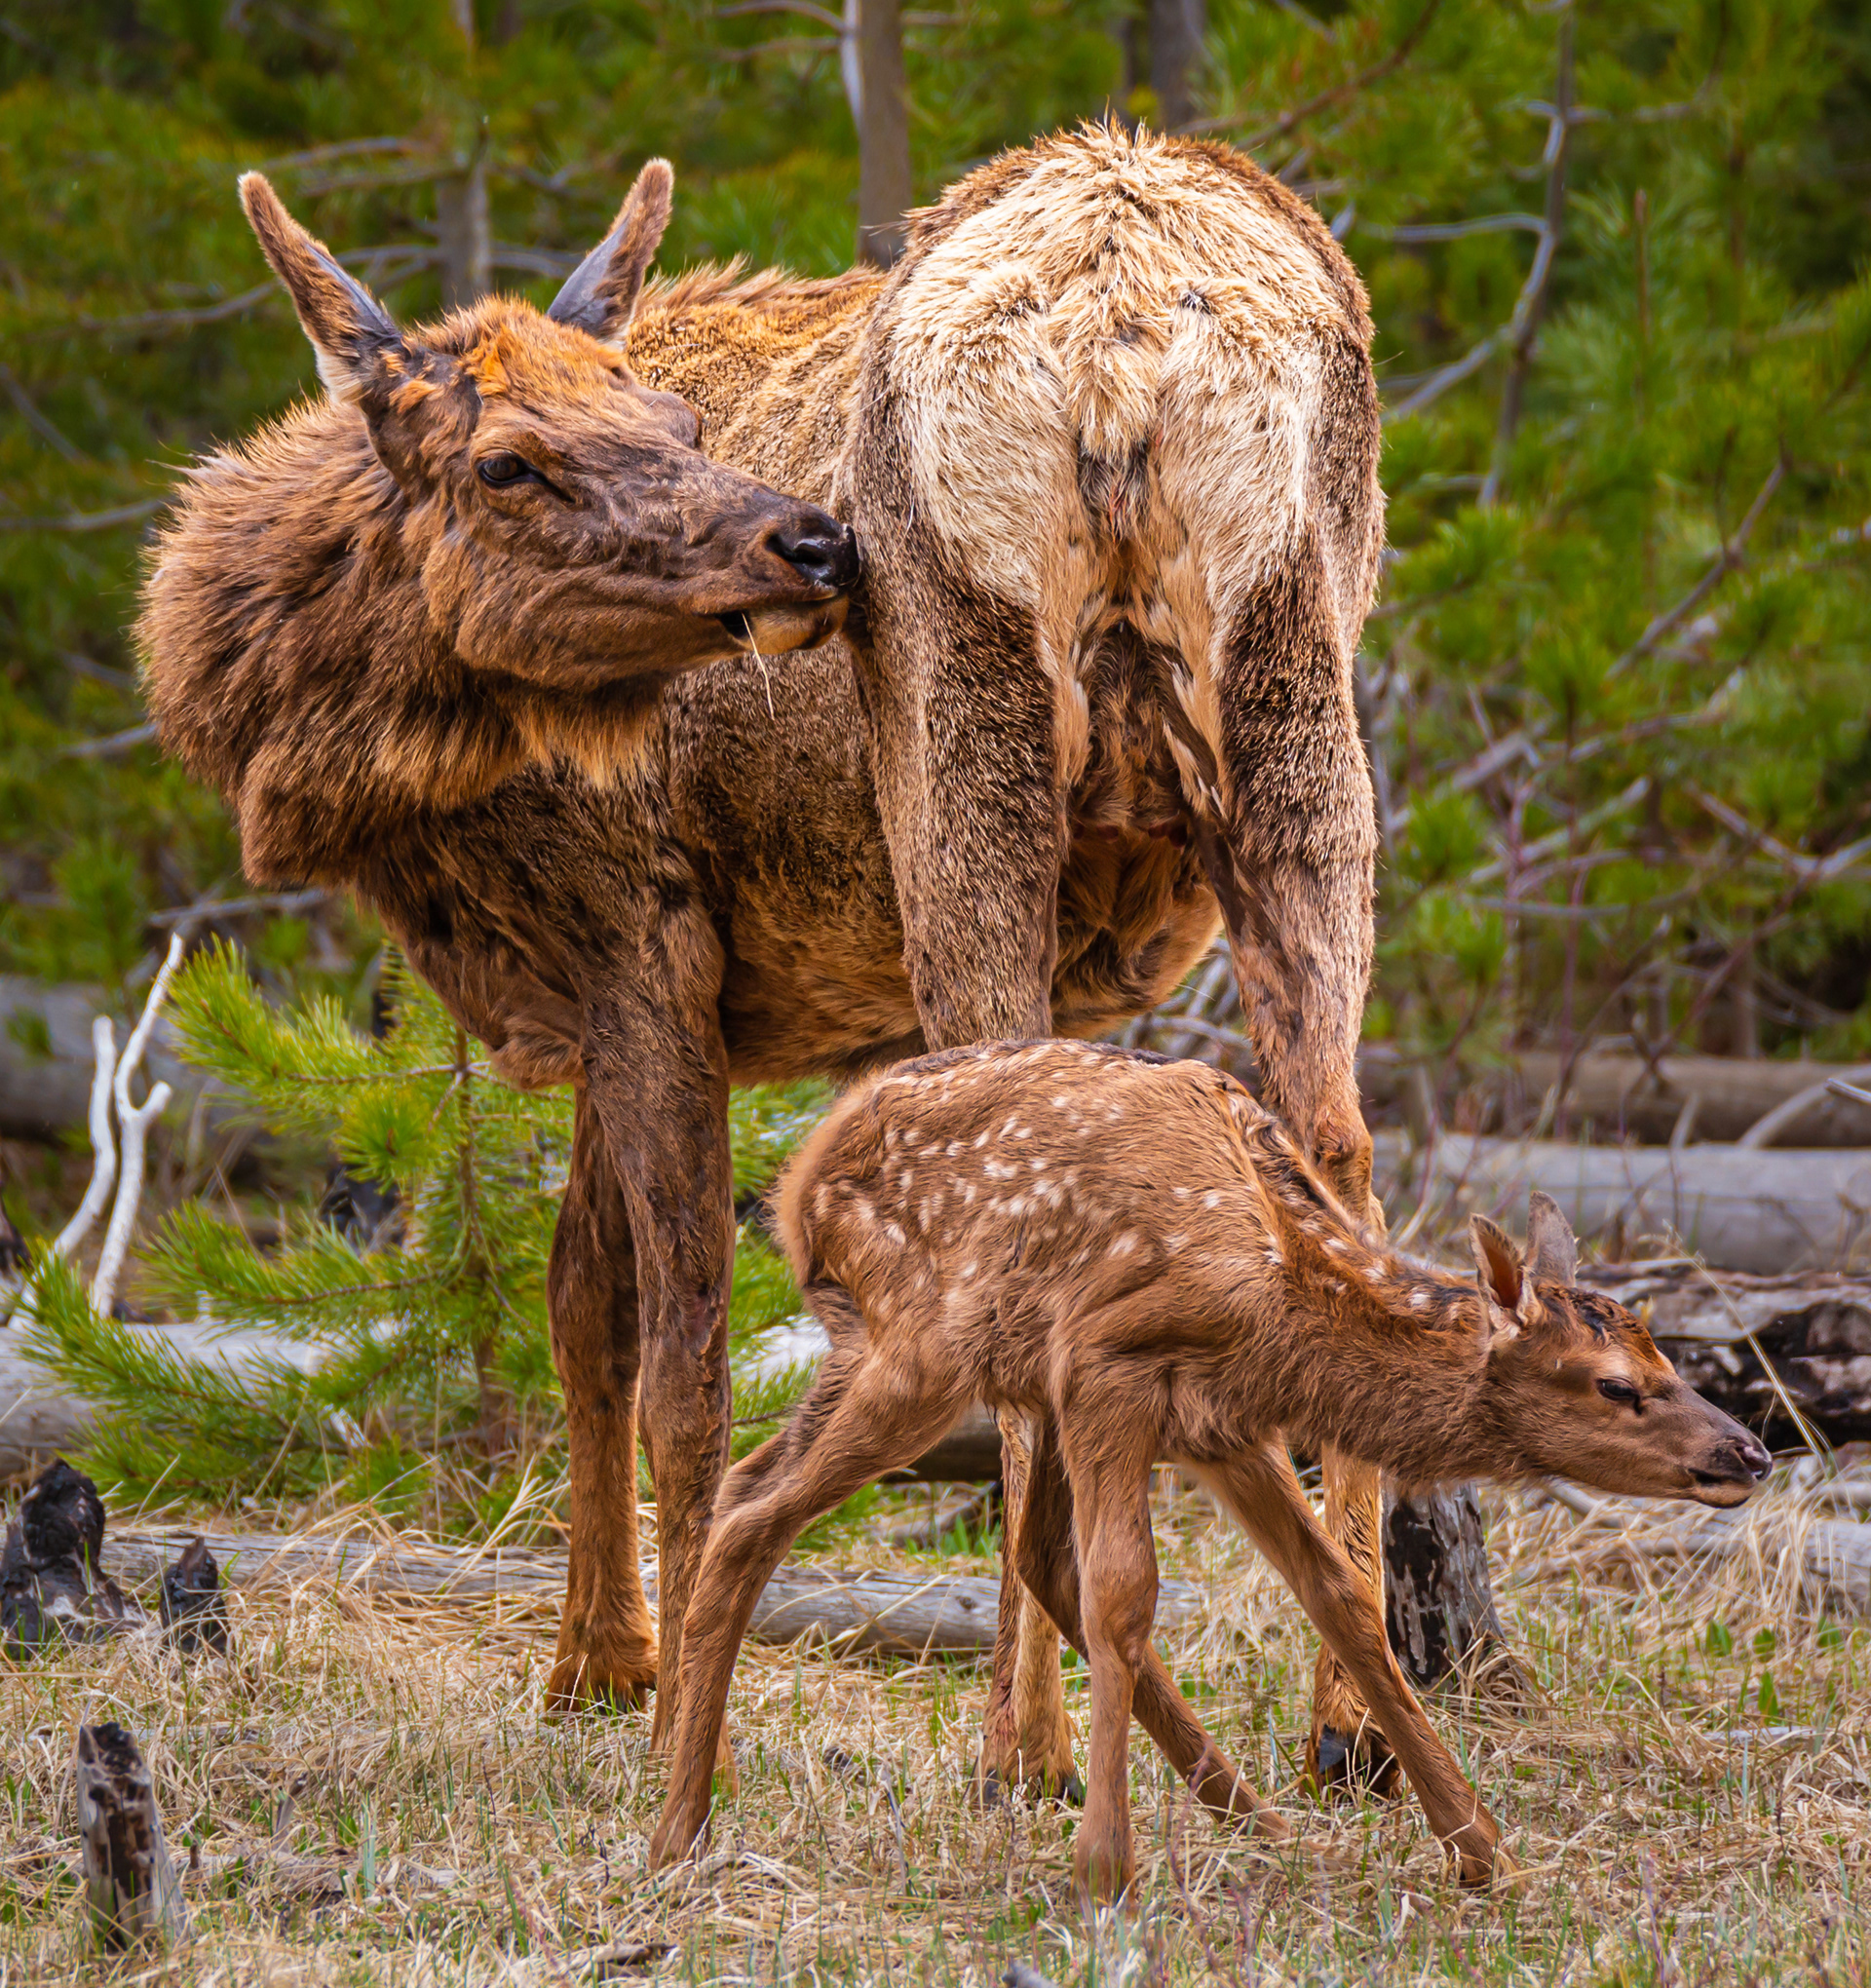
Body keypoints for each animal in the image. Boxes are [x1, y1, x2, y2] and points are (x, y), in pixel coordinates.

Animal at [141, 123, 1395, 1767]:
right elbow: (583, 1305)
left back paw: (1027, 1749)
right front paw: (593, 1661)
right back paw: (1355, 1718)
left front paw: (676, 1688)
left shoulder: (638, 927)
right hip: (1298, 731)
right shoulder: (622, 987)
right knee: (1346, 1169)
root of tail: (1123, 338)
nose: (808, 544)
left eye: (669, 419)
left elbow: (679, 1352)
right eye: (508, 458)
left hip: (964, 754)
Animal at [647, 1040, 1771, 1899]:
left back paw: (1262, 1820)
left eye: (1667, 1355)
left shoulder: (1223, 1427)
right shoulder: (1112, 1365)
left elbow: (1341, 1600)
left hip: (938, 1364)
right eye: (1616, 1385)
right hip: (926, 1351)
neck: (1284, 1298)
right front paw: (1104, 1870)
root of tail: (796, 1182)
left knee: (805, 1497)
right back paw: (679, 1831)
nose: (1748, 1451)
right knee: (759, 1518)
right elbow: (1125, 1594)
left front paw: (1484, 1852)